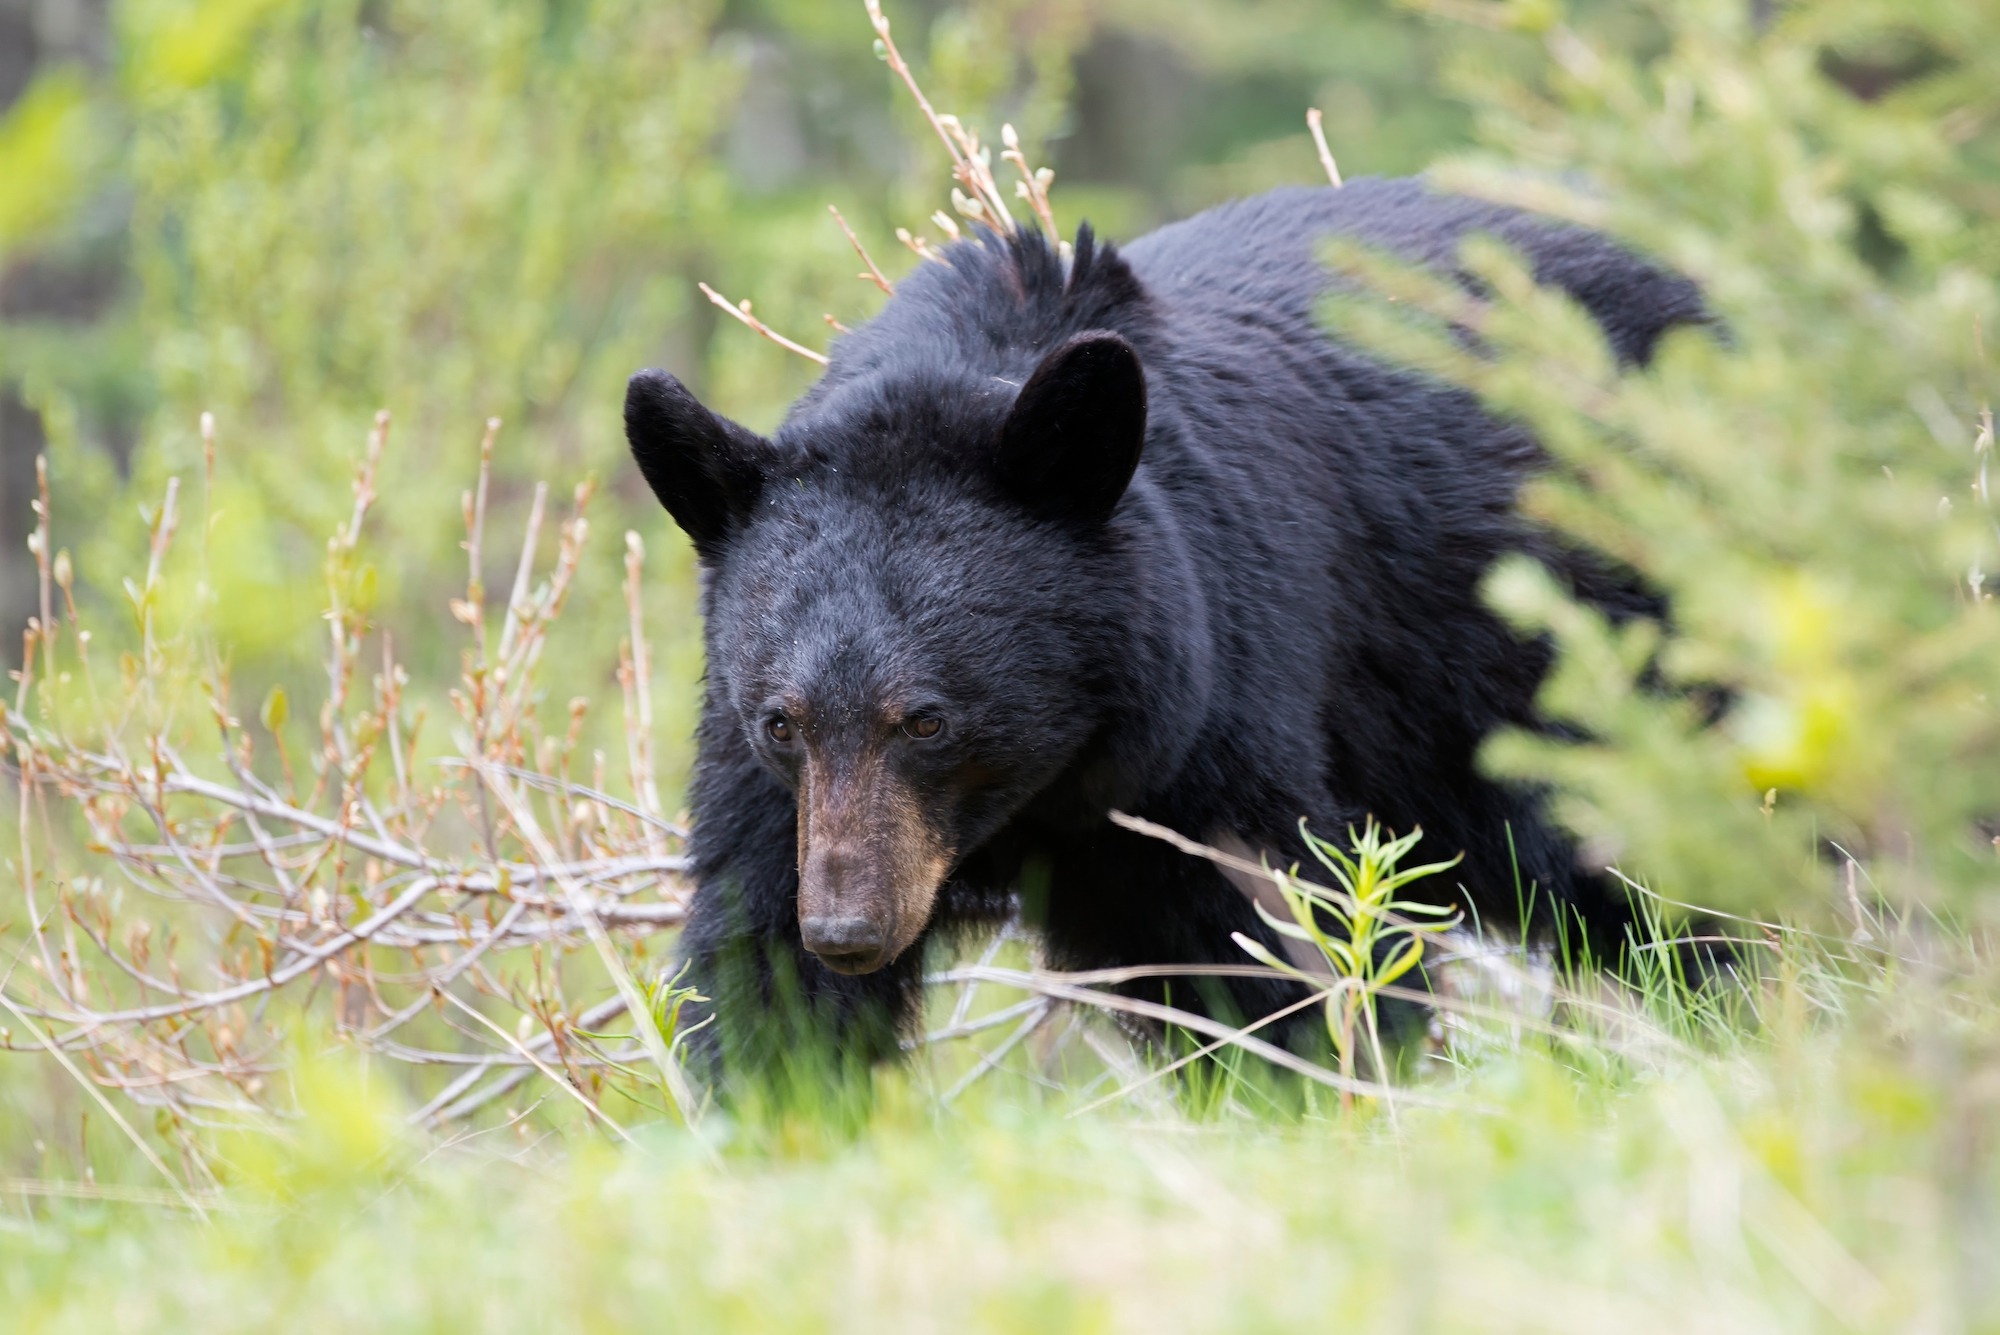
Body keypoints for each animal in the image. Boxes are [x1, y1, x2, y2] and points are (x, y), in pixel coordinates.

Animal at [628, 179, 1704, 1071]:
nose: (848, 930)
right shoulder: (773, 793)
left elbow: (1276, 936)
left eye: (928, 718)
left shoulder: (1217, 693)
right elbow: (756, 956)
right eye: (782, 721)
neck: (1048, 788)